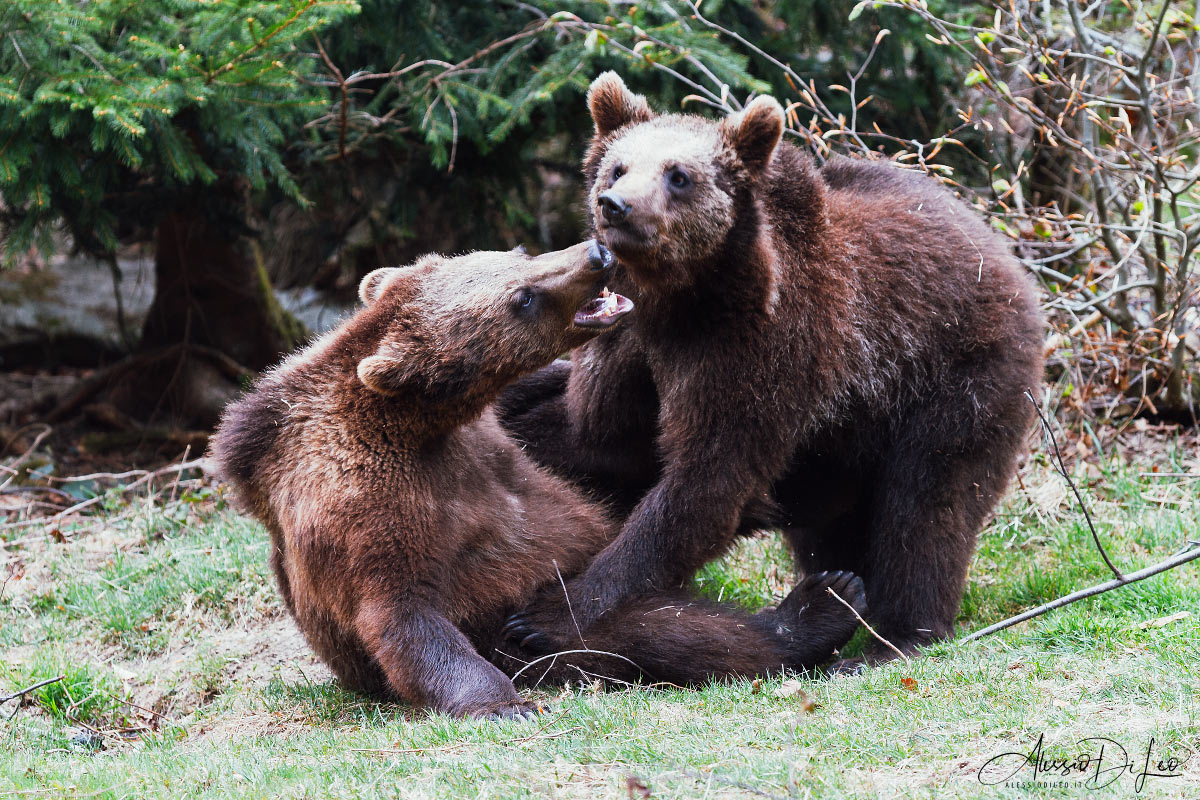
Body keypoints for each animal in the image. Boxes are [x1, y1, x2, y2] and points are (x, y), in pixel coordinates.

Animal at [206, 239, 864, 719]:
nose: (596, 253)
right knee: (658, 631)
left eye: (513, 255)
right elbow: (402, 612)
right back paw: (820, 605)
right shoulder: (360, 504)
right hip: (528, 624)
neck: (420, 425)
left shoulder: (506, 436)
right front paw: (501, 704)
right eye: (521, 298)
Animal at [496, 71, 1041, 671]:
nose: (614, 204)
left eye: (679, 175)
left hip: (955, 373)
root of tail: (999, 249)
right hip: (842, 444)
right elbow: (596, 435)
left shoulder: (762, 354)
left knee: (929, 503)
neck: (682, 301)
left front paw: (551, 612)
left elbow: (705, 484)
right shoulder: (628, 350)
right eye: (617, 166)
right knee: (834, 527)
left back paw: (897, 636)